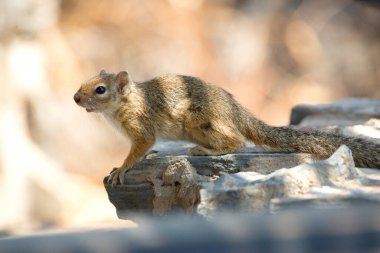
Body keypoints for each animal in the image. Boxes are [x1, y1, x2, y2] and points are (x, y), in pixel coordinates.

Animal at [74, 70, 380, 185]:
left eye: (100, 90)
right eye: (85, 82)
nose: (75, 98)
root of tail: (235, 110)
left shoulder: (141, 127)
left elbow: (140, 148)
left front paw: (121, 169)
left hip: (200, 121)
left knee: (237, 143)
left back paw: (206, 151)